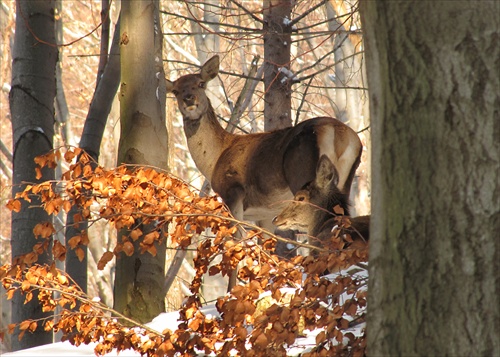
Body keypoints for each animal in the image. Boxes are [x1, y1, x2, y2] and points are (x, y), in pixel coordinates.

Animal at [166, 55, 362, 288]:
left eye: (201, 83)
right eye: (175, 90)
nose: (189, 99)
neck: (215, 158)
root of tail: (339, 134)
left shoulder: (232, 193)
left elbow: (236, 244)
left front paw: (232, 290)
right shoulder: (265, 214)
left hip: (304, 177)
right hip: (345, 181)